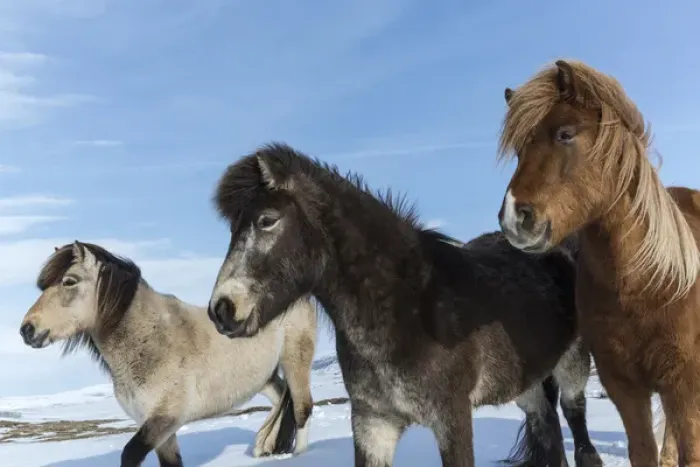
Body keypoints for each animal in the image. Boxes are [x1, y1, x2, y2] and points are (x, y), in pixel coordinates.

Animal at [18, 241, 317, 467]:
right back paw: (265, 445)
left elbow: (130, 454)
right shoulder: (158, 426)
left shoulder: (165, 418)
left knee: (302, 408)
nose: (27, 330)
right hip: (263, 377)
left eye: (69, 281)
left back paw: (299, 456)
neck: (151, 339)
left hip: (295, 360)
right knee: (281, 399)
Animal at [203, 143, 603, 467]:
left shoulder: (453, 418)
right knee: (547, 430)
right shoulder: (373, 423)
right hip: (527, 387)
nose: (221, 310)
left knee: (579, 434)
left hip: (573, 368)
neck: (407, 307)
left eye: (266, 220)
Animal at [496, 58, 700, 467]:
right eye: (519, 150)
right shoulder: (623, 385)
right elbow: (644, 452)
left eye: (565, 134)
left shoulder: (682, 383)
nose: (513, 219)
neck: (647, 282)